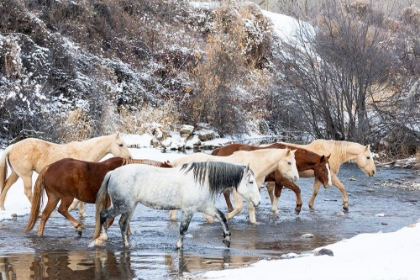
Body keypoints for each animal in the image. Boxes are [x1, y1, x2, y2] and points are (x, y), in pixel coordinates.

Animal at [0, 134, 131, 210]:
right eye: (120, 144)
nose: (130, 157)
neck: (84, 152)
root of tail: (12, 147)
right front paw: (71, 208)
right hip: (26, 175)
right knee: (27, 192)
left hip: (16, 174)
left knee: (6, 186)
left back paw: (3, 208)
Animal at [22, 156, 171, 235]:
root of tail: (49, 168)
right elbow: (110, 220)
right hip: (66, 197)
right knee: (62, 210)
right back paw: (78, 226)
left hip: (54, 197)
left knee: (45, 215)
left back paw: (40, 234)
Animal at [90, 162, 260, 249]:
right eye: (251, 182)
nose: (257, 202)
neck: (201, 180)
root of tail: (112, 173)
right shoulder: (189, 210)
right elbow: (183, 229)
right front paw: (178, 247)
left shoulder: (203, 207)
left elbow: (222, 216)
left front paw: (227, 239)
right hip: (122, 205)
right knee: (104, 214)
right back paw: (102, 238)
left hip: (130, 206)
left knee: (122, 224)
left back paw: (126, 245)